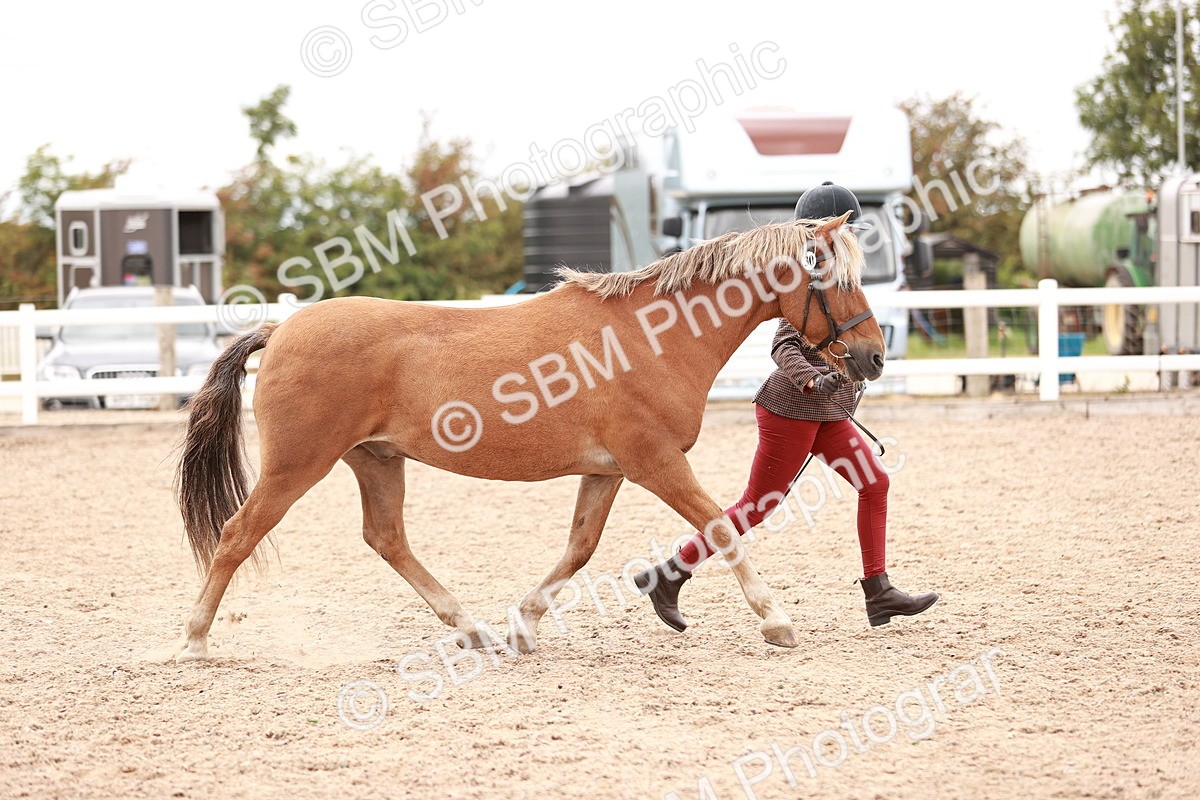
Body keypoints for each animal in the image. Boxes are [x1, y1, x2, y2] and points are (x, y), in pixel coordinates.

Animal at [173, 213, 886, 662]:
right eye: (835, 278)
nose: (874, 357)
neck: (655, 335)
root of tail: (281, 329)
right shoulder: (654, 462)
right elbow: (720, 526)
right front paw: (777, 622)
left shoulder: (608, 470)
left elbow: (579, 549)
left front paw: (524, 627)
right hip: (298, 466)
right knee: (236, 536)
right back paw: (194, 641)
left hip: (375, 460)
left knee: (386, 539)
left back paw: (475, 632)